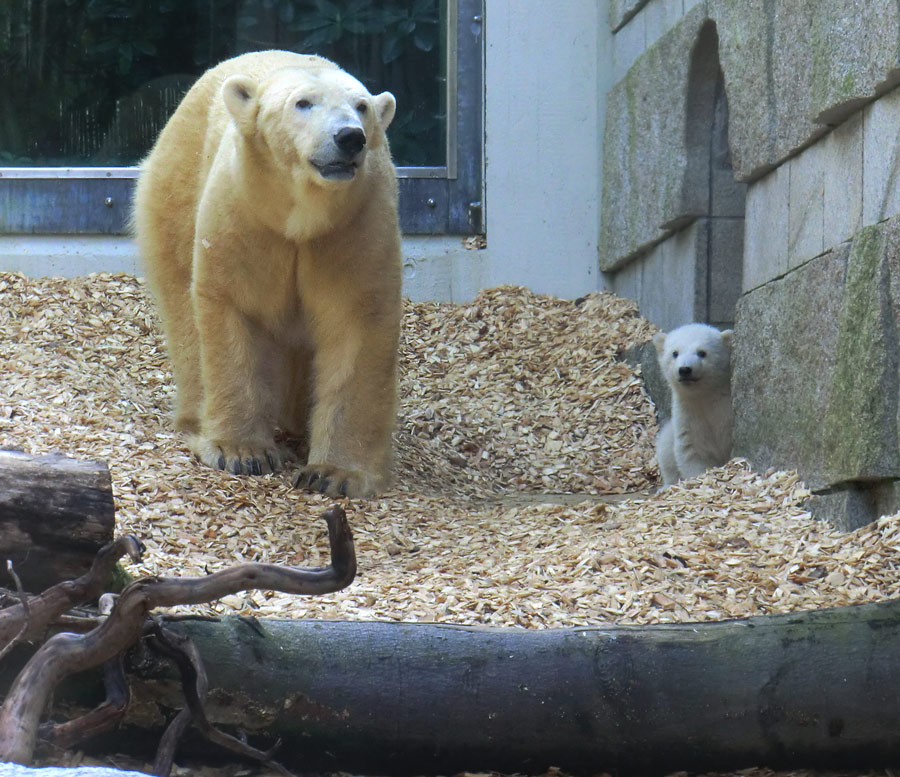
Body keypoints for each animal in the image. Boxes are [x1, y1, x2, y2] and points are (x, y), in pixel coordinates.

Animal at [134, 50, 400, 498]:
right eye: (303, 103)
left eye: (362, 106)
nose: (350, 137)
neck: (301, 220)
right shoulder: (245, 217)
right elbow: (235, 310)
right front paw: (242, 452)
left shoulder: (354, 227)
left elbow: (356, 326)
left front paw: (334, 473)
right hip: (175, 190)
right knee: (184, 313)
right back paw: (195, 418)